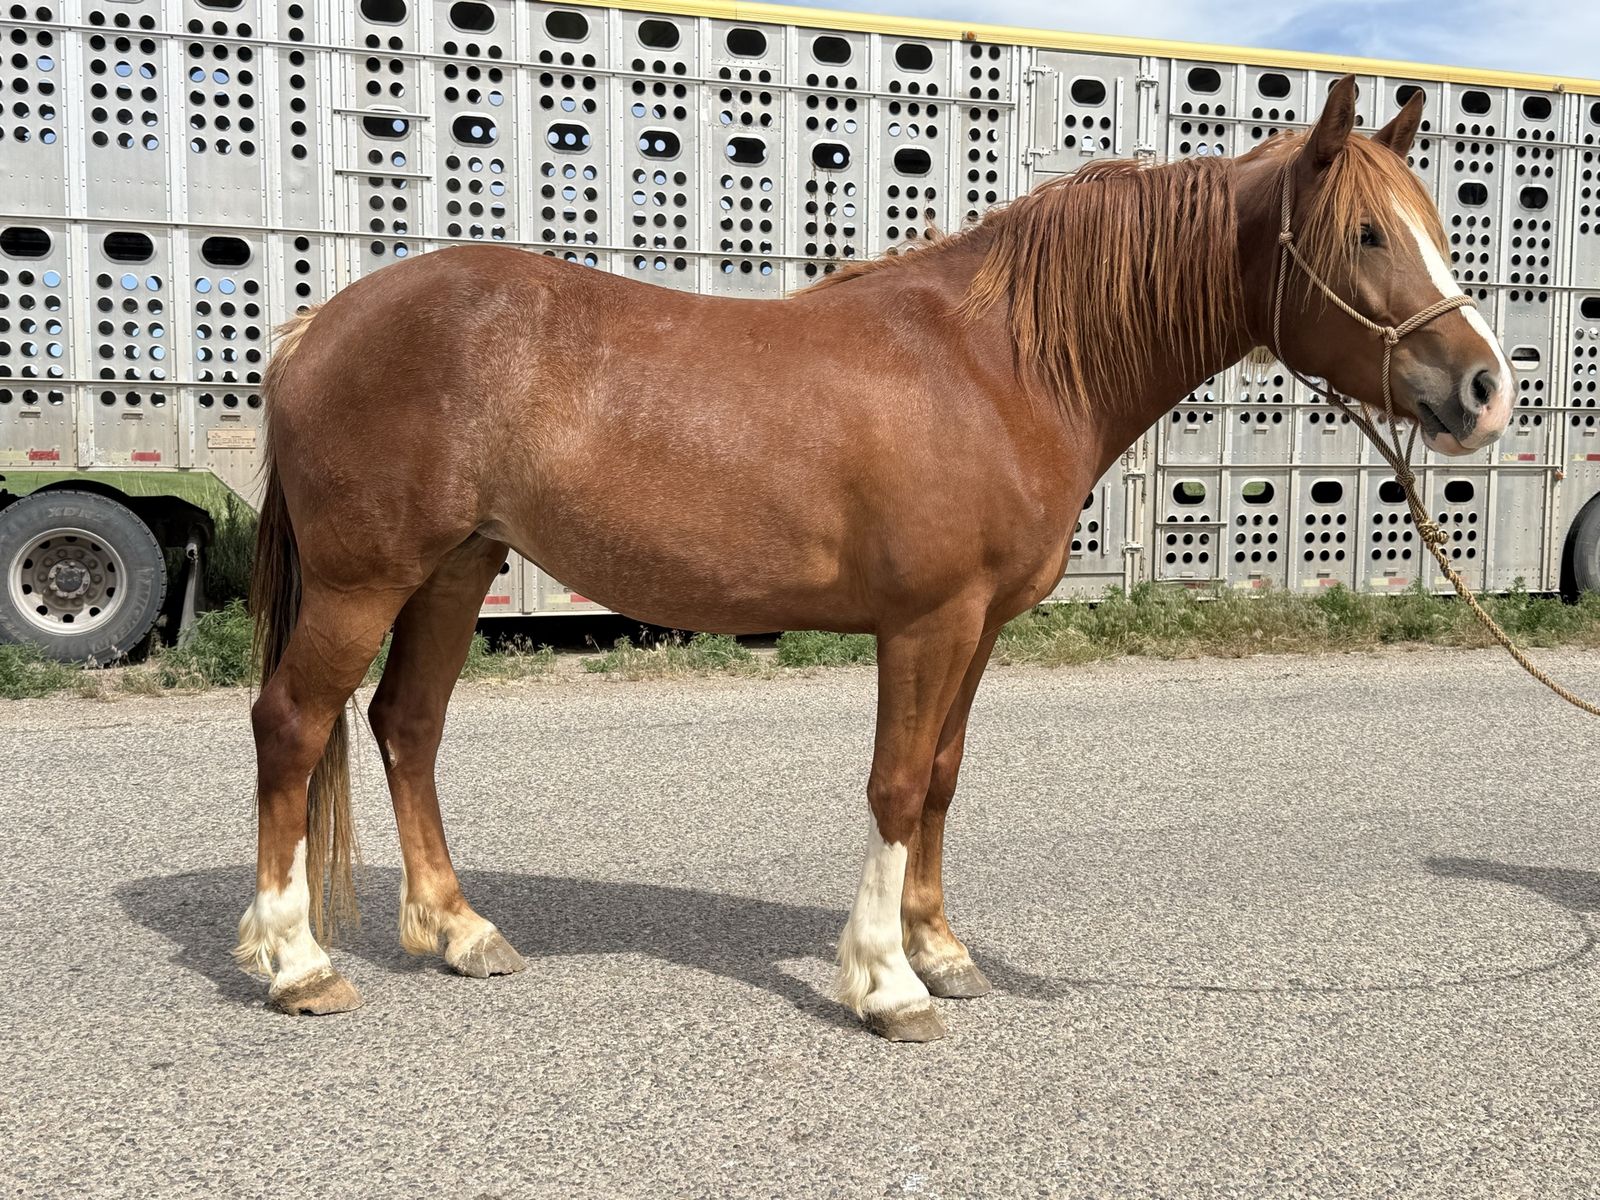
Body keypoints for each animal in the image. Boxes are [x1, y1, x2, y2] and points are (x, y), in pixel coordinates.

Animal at [235, 76, 1513, 1041]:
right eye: (1365, 234)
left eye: (1439, 229)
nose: (1484, 389)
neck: (1003, 364)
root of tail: (316, 325)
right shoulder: (925, 622)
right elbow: (895, 785)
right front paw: (888, 985)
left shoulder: (979, 627)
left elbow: (941, 778)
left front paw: (940, 951)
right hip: (364, 579)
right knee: (294, 724)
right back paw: (297, 965)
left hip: (456, 569)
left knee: (406, 727)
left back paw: (460, 932)